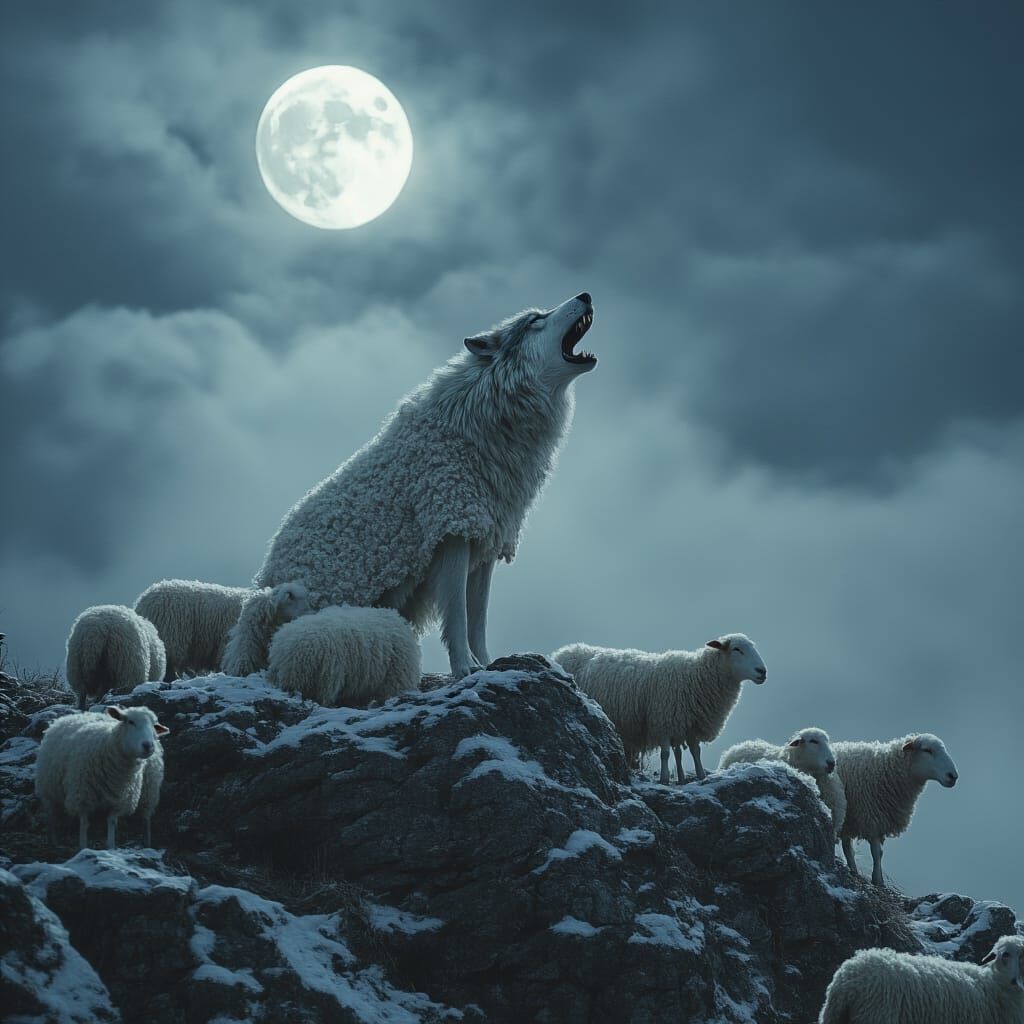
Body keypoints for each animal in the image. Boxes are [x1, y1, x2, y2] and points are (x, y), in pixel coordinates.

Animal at [34, 705, 169, 850]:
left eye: (154, 725)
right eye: (130, 721)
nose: (148, 745)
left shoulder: (119, 800)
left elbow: (111, 822)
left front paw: (110, 846)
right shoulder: (82, 796)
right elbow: (84, 823)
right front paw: (83, 847)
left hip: (149, 792)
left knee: (145, 819)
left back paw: (147, 844)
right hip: (48, 792)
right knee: (52, 818)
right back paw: (53, 842)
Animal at [256, 292, 597, 678]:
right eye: (535, 320)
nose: (585, 295)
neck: (479, 426)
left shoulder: (486, 539)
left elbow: (478, 620)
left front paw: (490, 664)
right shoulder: (452, 533)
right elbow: (458, 617)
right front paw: (464, 668)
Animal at [551, 633, 767, 784]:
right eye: (737, 649)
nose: (762, 672)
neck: (696, 676)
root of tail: (565, 651)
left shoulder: (692, 723)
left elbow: (695, 752)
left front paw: (700, 775)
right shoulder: (664, 719)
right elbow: (665, 753)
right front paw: (664, 778)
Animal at [833, 732, 959, 886]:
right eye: (927, 750)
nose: (953, 776)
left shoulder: (866, 819)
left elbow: (868, 851)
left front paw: (867, 875)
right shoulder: (871, 818)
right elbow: (876, 852)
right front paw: (878, 880)